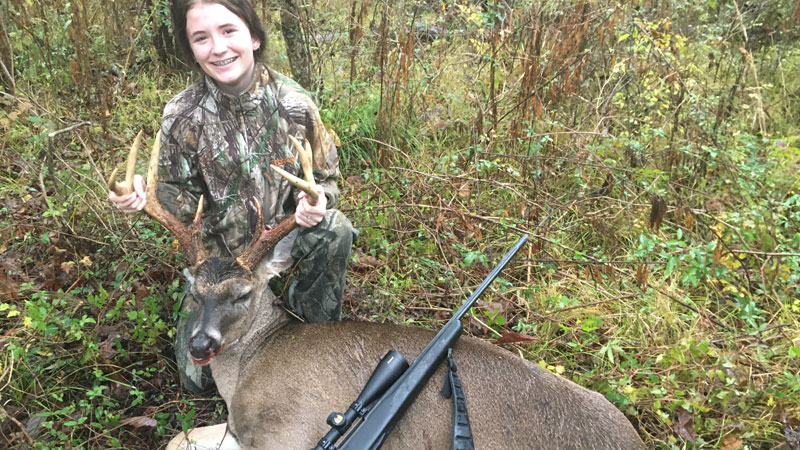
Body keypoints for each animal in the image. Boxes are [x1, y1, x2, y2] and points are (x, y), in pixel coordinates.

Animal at [108, 132, 645, 450]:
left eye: (242, 294)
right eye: (193, 287)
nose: (201, 344)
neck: (249, 368)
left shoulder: (290, 430)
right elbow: (177, 439)